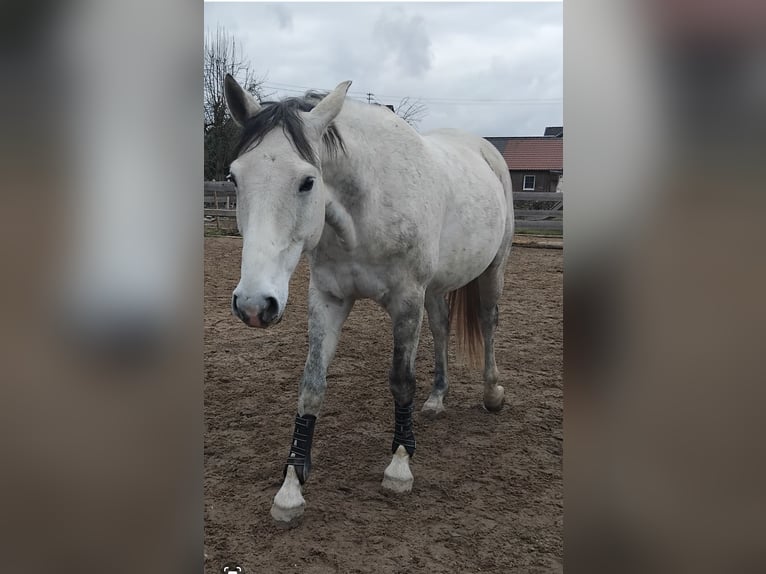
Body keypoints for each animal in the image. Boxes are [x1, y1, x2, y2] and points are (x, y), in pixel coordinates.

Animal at [223, 74, 514, 524]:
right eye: (235, 178)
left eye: (307, 181)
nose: (255, 305)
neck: (364, 212)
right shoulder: (327, 299)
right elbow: (312, 386)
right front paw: (290, 488)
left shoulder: (406, 300)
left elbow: (401, 381)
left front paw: (399, 466)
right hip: (436, 288)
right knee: (442, 328)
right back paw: (437, 398)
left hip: (492, 270)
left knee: (487, 321)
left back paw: (491, 394)